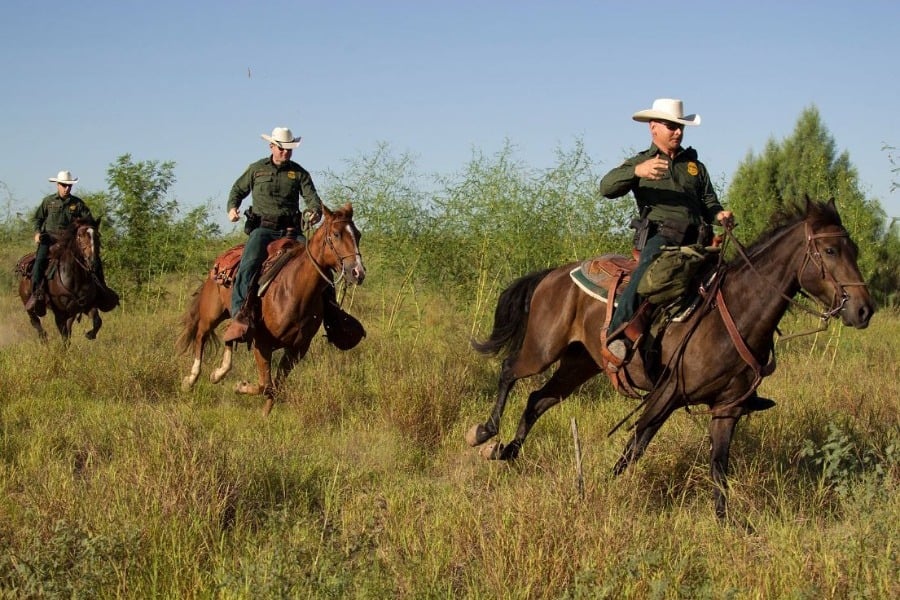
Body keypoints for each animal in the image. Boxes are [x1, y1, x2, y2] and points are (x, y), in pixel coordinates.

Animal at [177, 204, 366, 414]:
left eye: (357, 235)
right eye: (336, 234)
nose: (358, 272)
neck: (294, 291)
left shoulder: (297, 349)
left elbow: (275, 387)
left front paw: (265, 415)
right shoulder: (262, 343)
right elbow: (265, 385)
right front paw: (240, 386)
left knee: (230, 335)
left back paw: (219, 372)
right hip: (212, 313)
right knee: (201, 335)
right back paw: (190, 380)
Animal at [468, 199, 876, 516]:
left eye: (854, 250)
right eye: (830, 251)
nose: (863, 310)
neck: (735, 313)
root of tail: (555, 273)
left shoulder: (727, 408)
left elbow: (719, 469)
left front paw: (731, 526)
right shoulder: (666, 395)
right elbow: (634, 448)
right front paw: (602, 491)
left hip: (579, 363)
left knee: (539, 399)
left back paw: (506, 452)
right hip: (543, 349)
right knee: (509, 371)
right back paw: (484, 433)